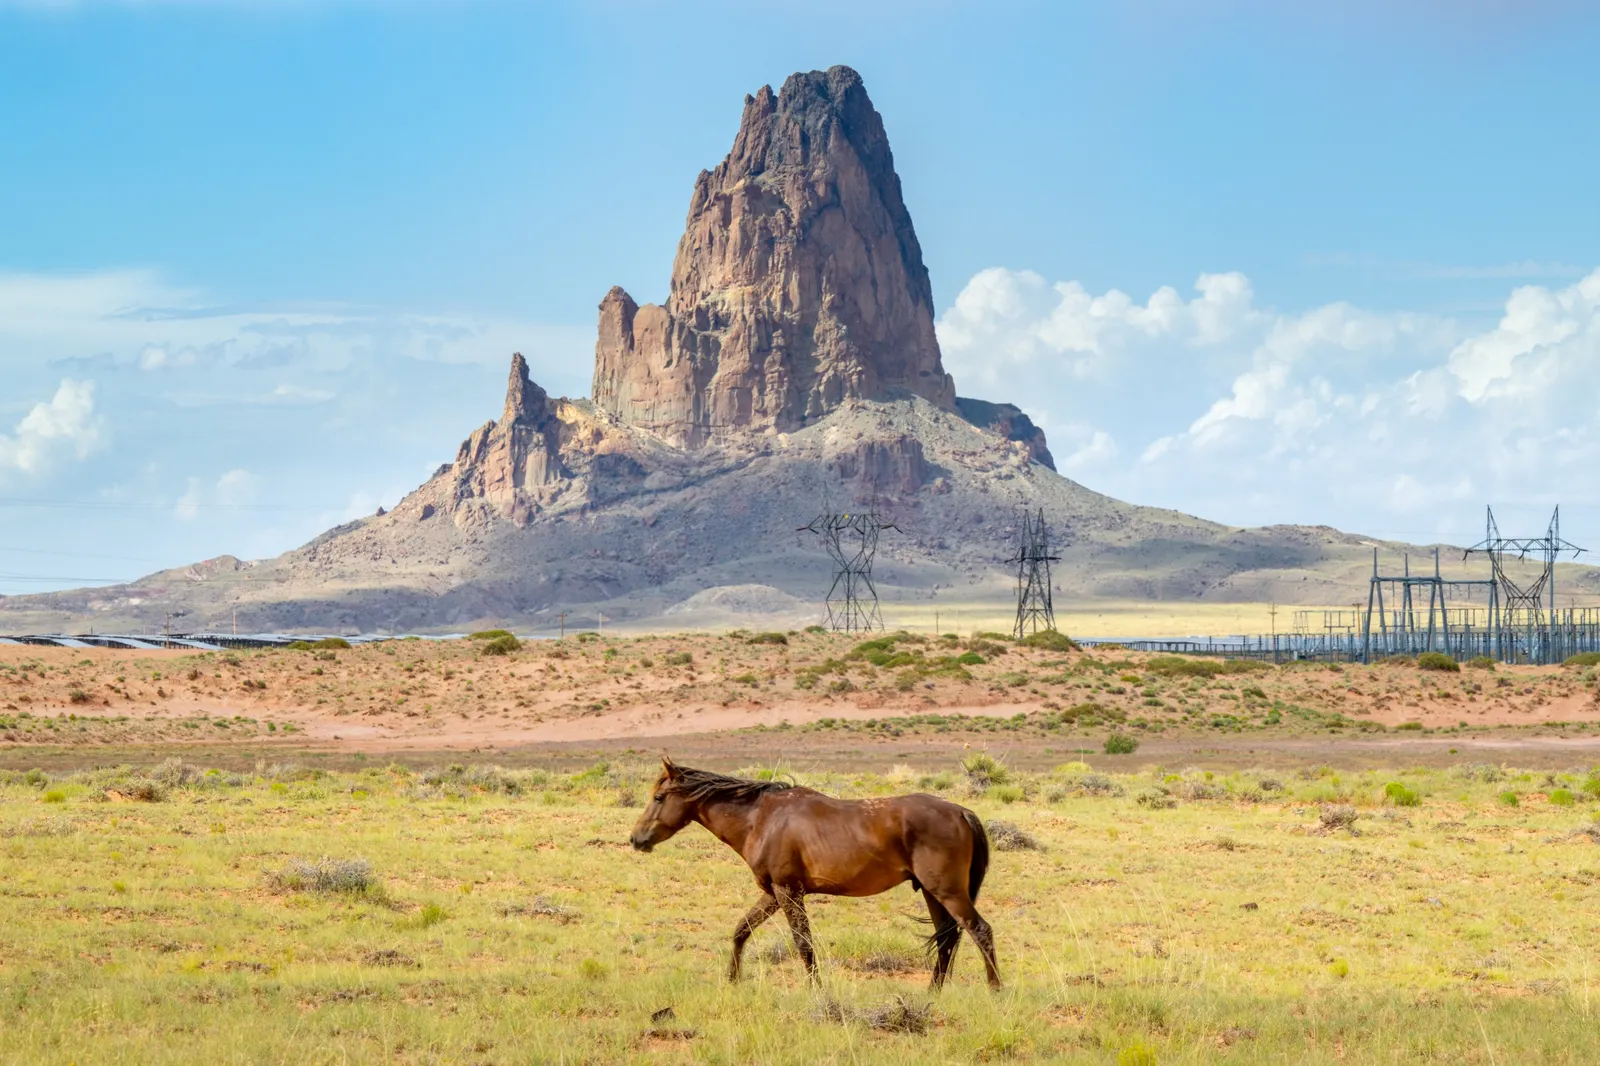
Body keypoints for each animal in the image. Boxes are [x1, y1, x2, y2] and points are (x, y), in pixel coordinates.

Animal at [629, 757, 999, 990]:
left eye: (659, 797)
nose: (636, 839)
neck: (760, 819)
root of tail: (961, 812)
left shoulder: (788, 891)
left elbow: (803, 944)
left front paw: (815, 990)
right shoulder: (773, 892)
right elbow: (741, 931)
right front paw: (733, 981)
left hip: (947, 891)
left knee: (979, 930)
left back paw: (995, 990)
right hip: (931, 892)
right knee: (947, 938)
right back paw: (933, 993)